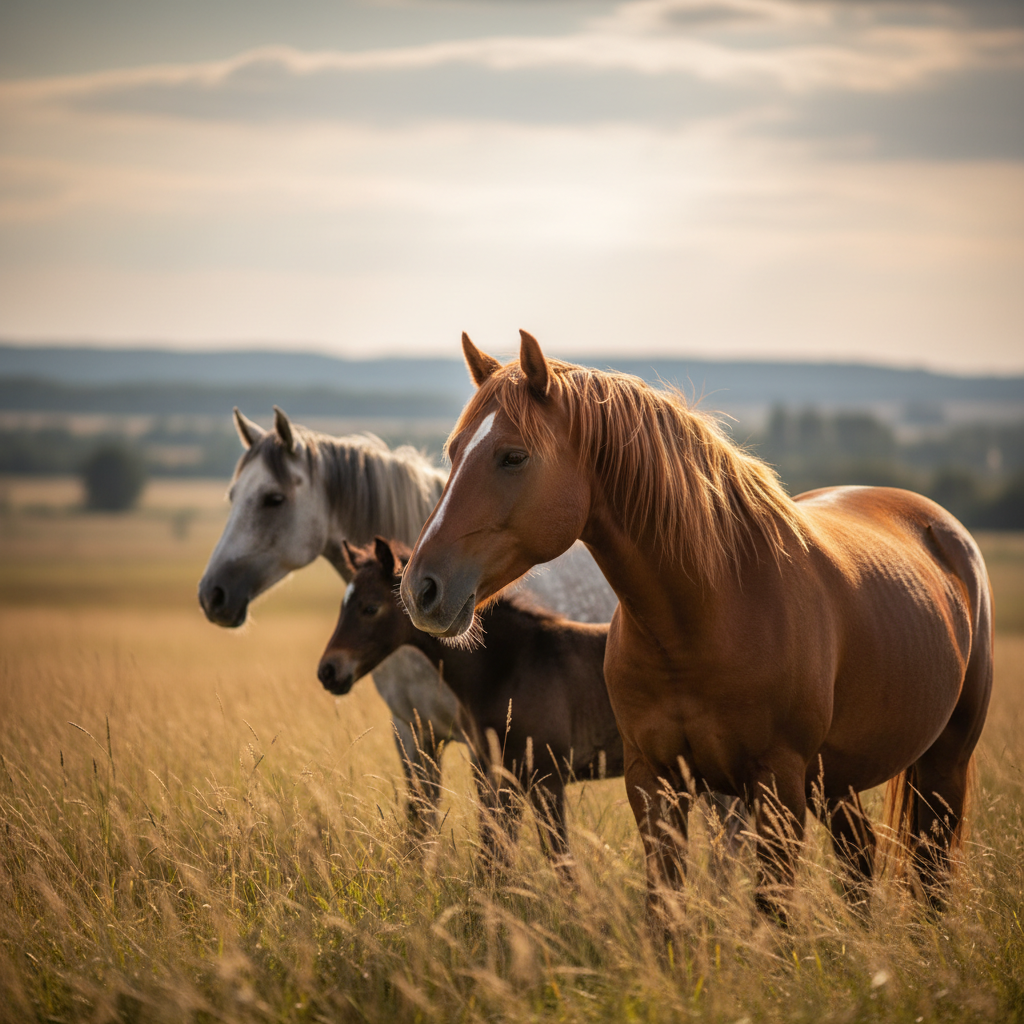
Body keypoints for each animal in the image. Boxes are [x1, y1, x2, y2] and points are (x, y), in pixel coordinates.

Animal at [197, 406, 618, 829]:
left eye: (274, 499)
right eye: (232, 496)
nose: (212, 594)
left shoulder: (484, 749)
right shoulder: (412, 733)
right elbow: (419, 826)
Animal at [319, 537, 621, 870]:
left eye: (370, 608)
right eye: (343, 606)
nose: (328, 671)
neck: (515, 663)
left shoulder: (546, 780)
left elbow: (558, 861)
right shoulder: (499, 778)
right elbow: (493, 857)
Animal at [400, 330, 993, 917]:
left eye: (513, 457)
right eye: (453, 452)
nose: (420, 588)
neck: (706, 619)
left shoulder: (778, 788)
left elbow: (770, 914)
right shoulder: (655, 781)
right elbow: (664, 911)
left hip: (940, 768)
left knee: (930, 875)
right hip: (836, 779)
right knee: (861, 859)